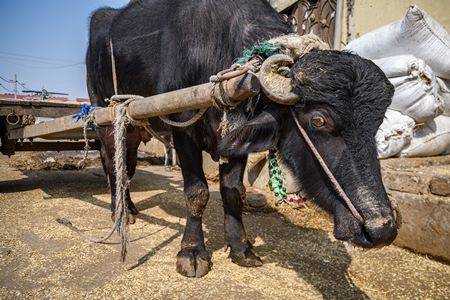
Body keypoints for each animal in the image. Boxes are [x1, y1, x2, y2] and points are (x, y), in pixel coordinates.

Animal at [86, 0, 396, 278]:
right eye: (318, 119)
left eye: (377, 123)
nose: (381, 228)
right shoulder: (183, 129)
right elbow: (196, 192)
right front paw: (192, 252)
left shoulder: (236, 139)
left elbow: (233, 192)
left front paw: (240, 248)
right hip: (106, 118)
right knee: (113, 166)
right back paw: (119, 213)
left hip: (133, 129)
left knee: (127, 166)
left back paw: (129, 207)